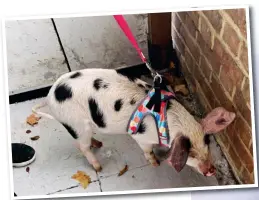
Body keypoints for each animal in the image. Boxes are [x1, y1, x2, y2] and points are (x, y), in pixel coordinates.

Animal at [32, 68, 236, 177]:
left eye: (207, 143)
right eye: (190, 154)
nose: (211, 171)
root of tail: (50, 95)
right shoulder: (141, 137)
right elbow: (147, 150)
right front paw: (155, 164)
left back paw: (99, 144)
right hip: (75, 123)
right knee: (82, 146)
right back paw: (98, 167)